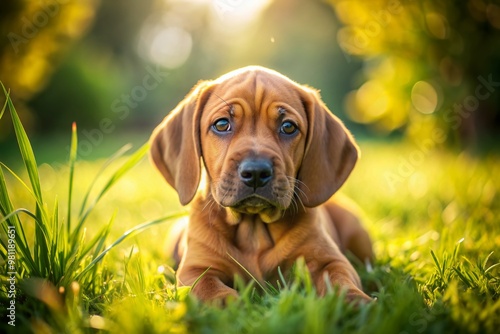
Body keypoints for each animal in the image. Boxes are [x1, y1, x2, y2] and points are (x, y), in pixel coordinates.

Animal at [150, 65, 374, 302]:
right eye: (222, 124)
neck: (254, 230)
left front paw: (357, 302)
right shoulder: (195, 269)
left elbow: (341, 282)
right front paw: (229, 304)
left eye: (288, 127)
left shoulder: (329, 261)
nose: (256, 172)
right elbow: (210, 291)